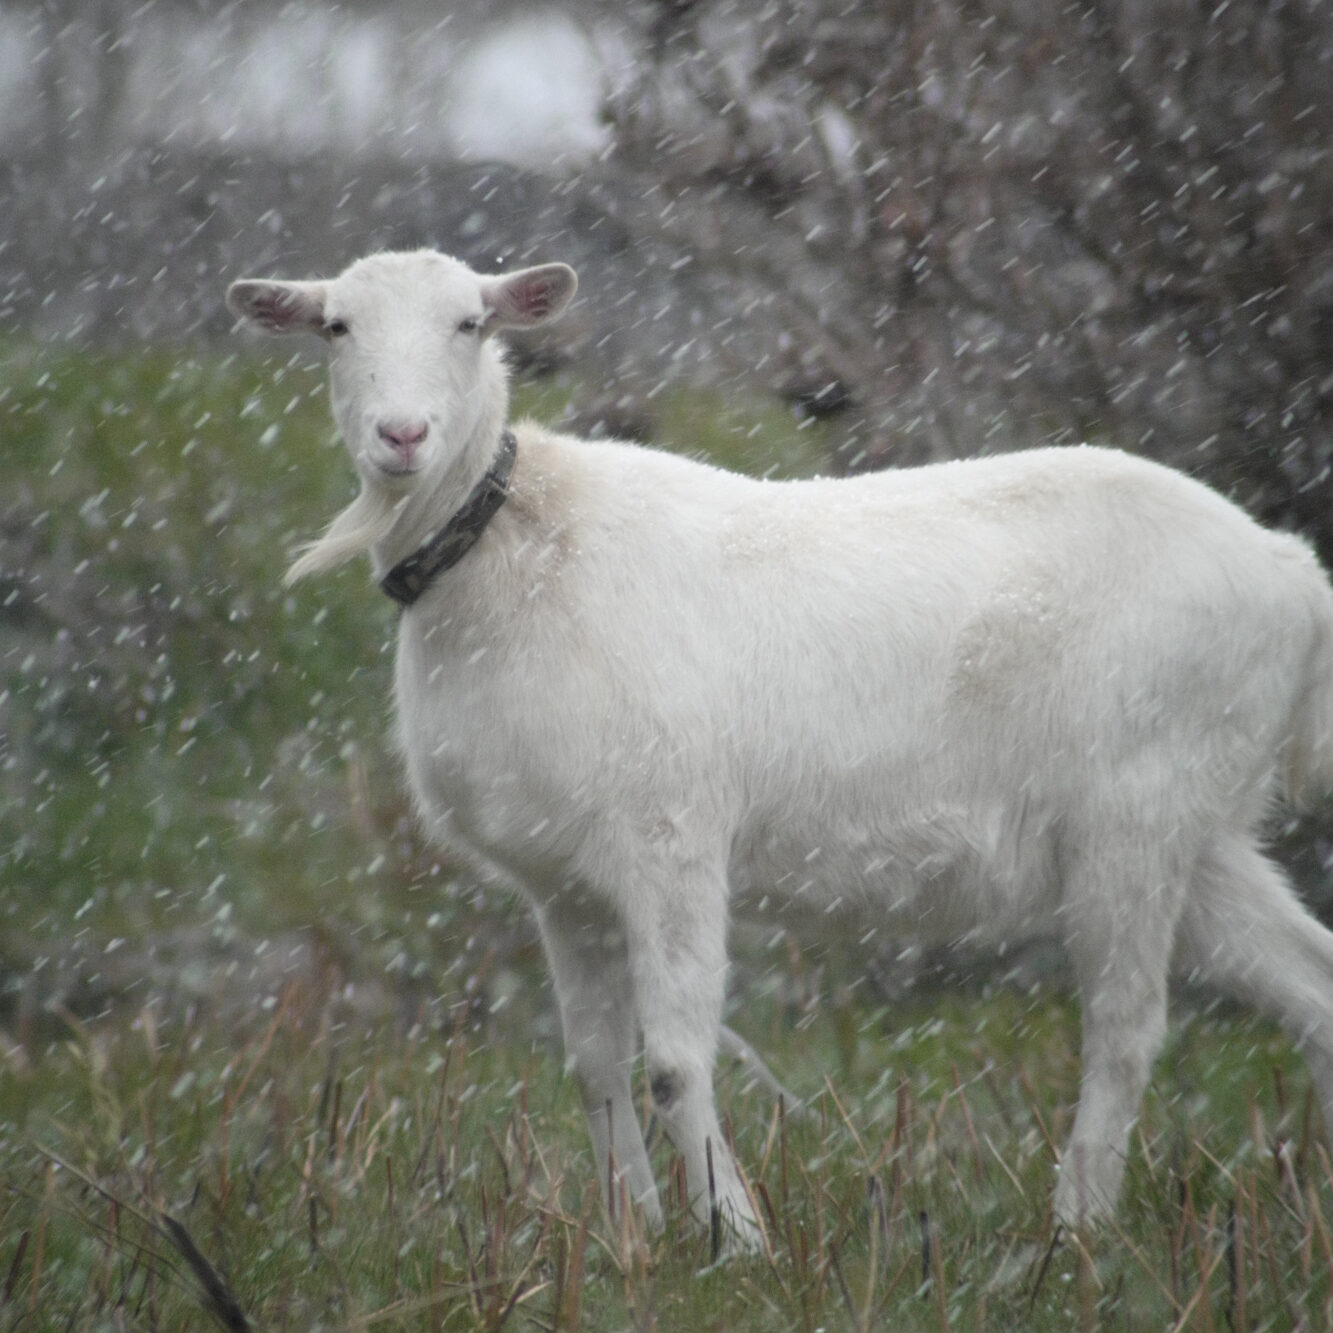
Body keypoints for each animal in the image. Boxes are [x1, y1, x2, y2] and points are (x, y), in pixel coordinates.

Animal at [231, 247, 1333, 1237]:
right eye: (337, 327)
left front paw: (736, 1238)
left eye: (470, 323)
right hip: (1203, 826)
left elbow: (675, 1058)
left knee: (1125, 1029)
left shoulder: (669, 831)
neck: (514, 545)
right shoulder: (562, 882)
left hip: (1135, 806)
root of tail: (1290, 571)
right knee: (1311, 983)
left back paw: (1077, 1233)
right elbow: (594, 1065)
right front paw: (632, 1240)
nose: (401, 433)